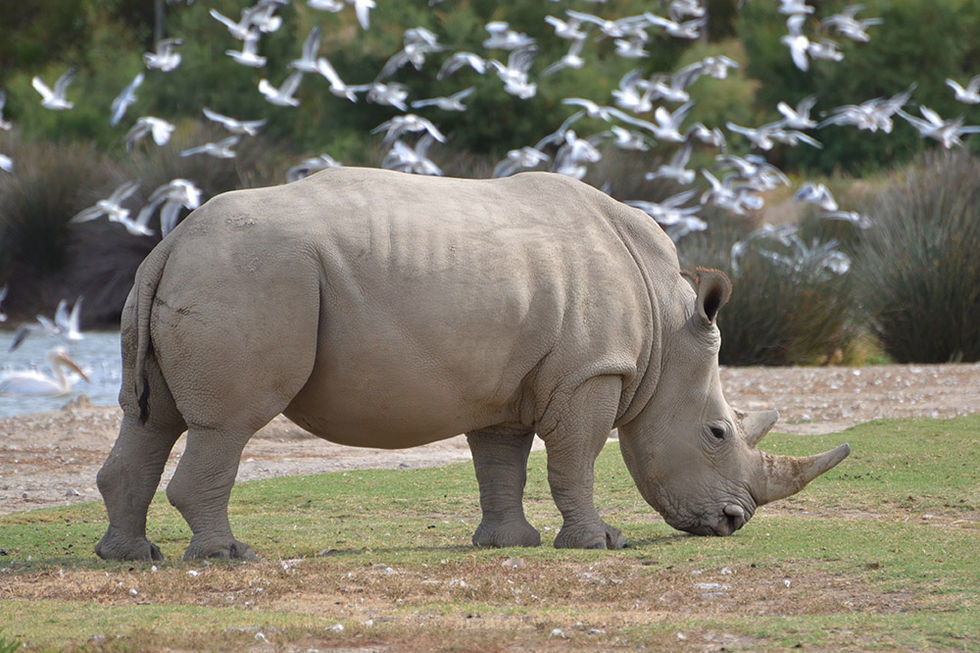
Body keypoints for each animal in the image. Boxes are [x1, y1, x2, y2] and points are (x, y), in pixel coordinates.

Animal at [95, 167, 849, 561]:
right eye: (717, 433)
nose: (733, 523)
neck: (666, 331)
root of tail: (172, 241)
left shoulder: (509, 380)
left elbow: (501, 463)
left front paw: (508, 543)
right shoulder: (591, 371)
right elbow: (575, 459)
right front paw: (598, 544)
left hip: (208, 273)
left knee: (152, 419)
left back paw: (131, 556)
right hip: (250, 277)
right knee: (227, 424)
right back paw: (228, 555)